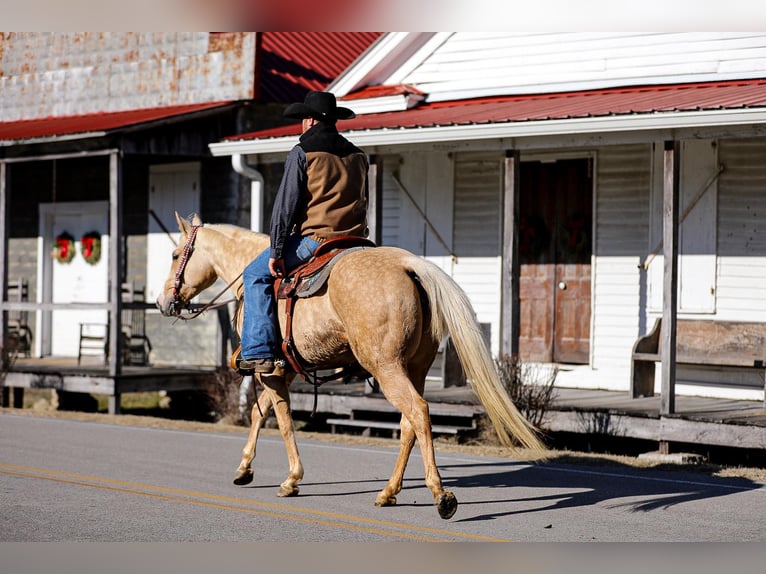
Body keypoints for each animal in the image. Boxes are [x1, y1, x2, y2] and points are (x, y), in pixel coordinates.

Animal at [156, 214, 544, 520]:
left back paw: (440, 495)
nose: (163, 301)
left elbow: (281, 419)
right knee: (408, 424)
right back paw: (388, 492)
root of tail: (408, 265)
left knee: (418, 412)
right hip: (414, 368)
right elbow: (259, 413)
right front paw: (244, 468)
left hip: (387, 368)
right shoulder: (286, 371)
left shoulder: (271, 371)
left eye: (176, 254)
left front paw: (291, 478)